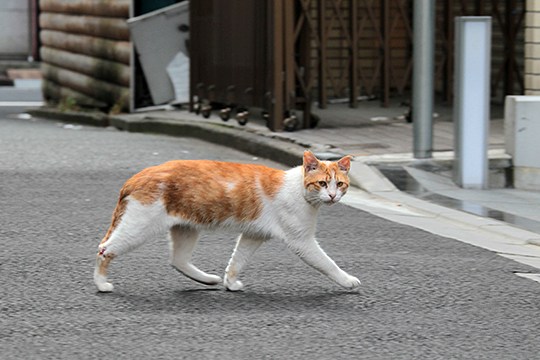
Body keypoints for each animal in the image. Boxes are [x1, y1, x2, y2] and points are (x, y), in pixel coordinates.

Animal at [95, 150, 360, 292]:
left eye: (340, 184)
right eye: (322, 183)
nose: (332, 196)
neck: (298, 189)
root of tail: (135, 177)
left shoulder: (254, 235)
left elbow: (237, 260)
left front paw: (230, 282)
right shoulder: (302, 241)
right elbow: (327, 263)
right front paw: (347, 281)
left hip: (186, 228)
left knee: (178, 260)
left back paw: (206, 278)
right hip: (138, 228)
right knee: (104, 249)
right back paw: (101, 284)